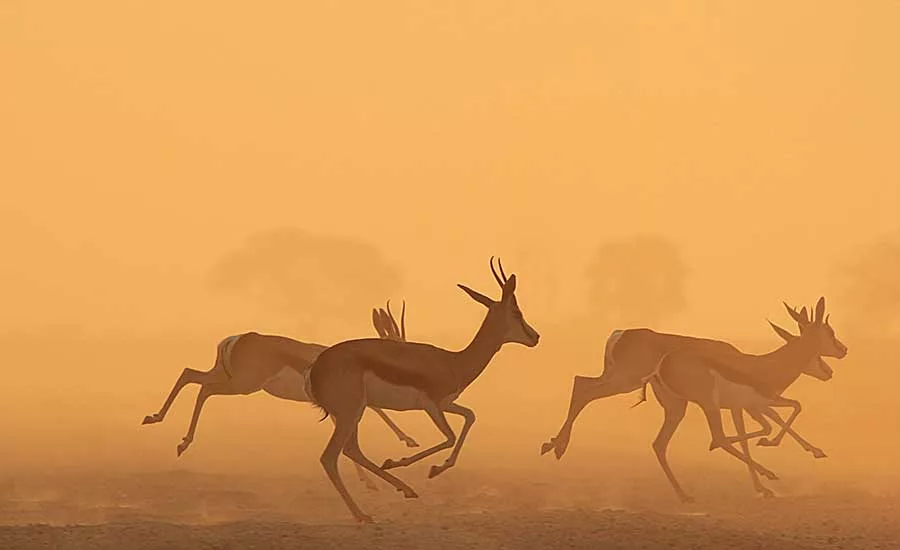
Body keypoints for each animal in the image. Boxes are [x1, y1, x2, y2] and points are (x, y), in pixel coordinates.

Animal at [141, 301, 419, 490]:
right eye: (400, 344)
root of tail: (236, 339)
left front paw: (369, 481)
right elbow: (377, 411)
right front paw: (408, 440)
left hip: (225, 376)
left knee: (190, 375)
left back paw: (158, 423)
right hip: (242, 385)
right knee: (204, 389)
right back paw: (179, 440)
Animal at [306, 257, 539, 523]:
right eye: (517, 312)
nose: (536, 337)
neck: (454, 362)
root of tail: (315, 368)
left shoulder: (446, 403)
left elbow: (470, 416)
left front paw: (433, 468)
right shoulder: (431, 404)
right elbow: (449, 437)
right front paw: (419, 465)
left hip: (354, 412)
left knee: (351, 450)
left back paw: (404, 489)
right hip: (350, 412)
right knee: (330, 456)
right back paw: (363, 514)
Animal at [541, 297, 847, 501]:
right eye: (830, 333)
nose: (840, 353)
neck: (764, 366)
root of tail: (619, 334)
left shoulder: (744, 406)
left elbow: (763, 429)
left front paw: (765, 483)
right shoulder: (753, 403)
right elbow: (782, 416)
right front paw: (771, 467)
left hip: (673, 405)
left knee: (656, 440)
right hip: (638, 386)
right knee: (584, 388)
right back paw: (556, 447)